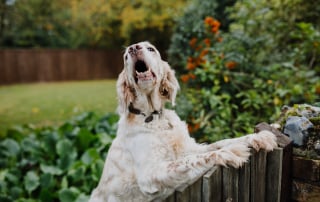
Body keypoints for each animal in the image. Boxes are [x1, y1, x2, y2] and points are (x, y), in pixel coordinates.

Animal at [89, 41, 278, 201]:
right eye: (126, 57)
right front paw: (230, 152)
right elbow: (195, 159)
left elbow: (220, 143)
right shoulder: (149, 174)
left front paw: (258, 137)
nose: (133, 48)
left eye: (150, 49)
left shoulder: (189, 148)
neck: (154, 117)